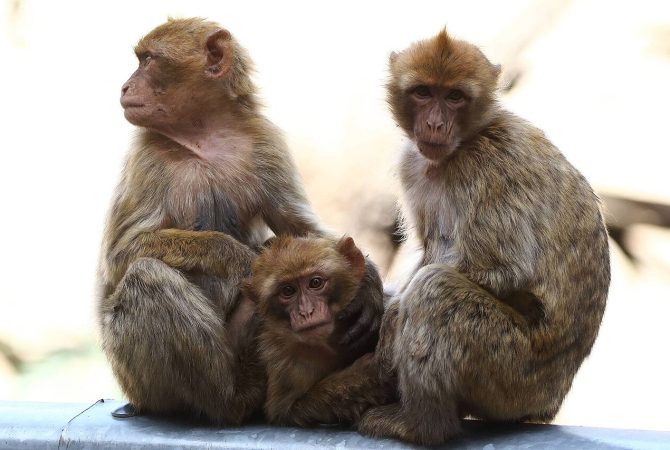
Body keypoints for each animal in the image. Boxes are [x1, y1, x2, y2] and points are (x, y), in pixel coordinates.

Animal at [241, 235, 389, 427]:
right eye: (288, 290)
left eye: (315, 283)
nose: (306, 312)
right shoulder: (283, 360)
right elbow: (284, 412)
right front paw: (366, 373)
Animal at [357, 30, 610, 445]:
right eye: (423, 92)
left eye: (455, 97)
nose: (435, 124)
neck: (466, 141)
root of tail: (551, 400)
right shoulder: (413, 164)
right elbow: (431, 250)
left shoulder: (488, 166)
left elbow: (504, 269)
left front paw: (392, 316)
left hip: (512, 373)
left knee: (436, 290)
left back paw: (423, 425)